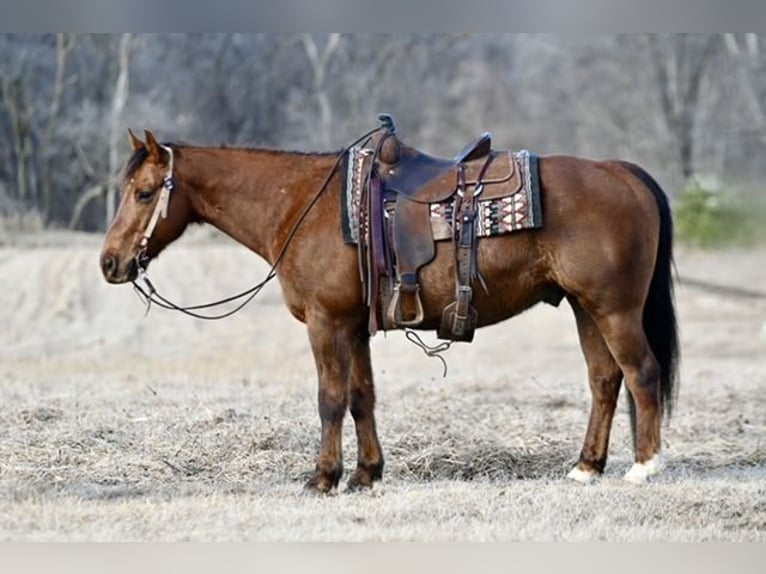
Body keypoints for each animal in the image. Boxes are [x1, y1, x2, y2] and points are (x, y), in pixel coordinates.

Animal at [100, 127, 680, 496]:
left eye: (145, 192)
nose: (110, 262)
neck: (302, 204)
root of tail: (621, 173)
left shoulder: (326, 323)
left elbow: (330, 399)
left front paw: (324, 478)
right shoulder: (354, 327)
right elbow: (363, 397)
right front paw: (366, 474)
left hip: (615, 309)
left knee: (642, 373)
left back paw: (645, 466)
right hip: (586, 308)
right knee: (605, 380)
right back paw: (587, 466)